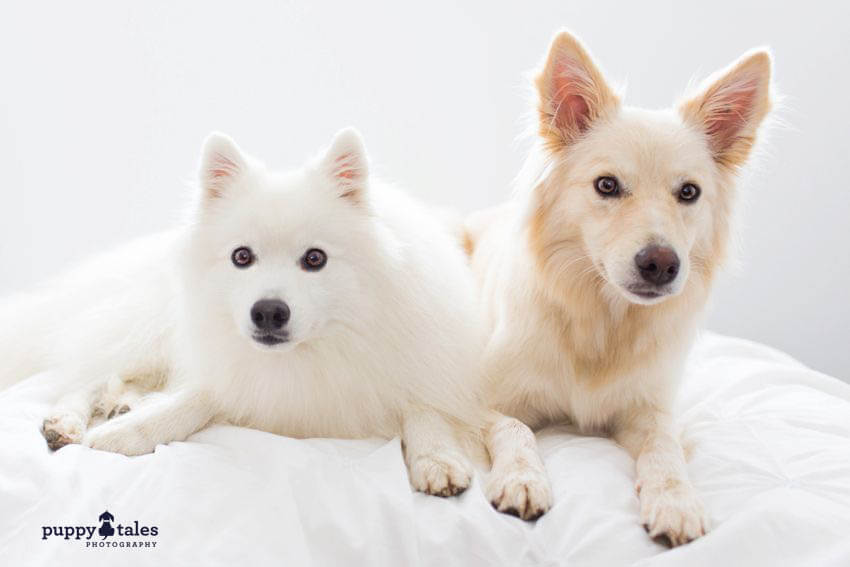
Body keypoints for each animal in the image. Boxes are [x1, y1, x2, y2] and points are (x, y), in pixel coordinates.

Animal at [0, 127, 480, 496]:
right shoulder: (231, 369)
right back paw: (68, 419)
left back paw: (122, 404)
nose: (267, 312)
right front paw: (129, 433)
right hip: (153, 329)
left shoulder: (418, 364)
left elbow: (427, 410)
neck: (316, 352)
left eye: (315, 259)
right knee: (88, 373)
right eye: (242, 257)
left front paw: (438, 459)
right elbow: (194, 399)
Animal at [468, 32, 772, 544]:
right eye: (607, 185)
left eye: (689, 193)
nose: (661, 264)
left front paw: (675, 500)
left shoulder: (649, 410)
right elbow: (514, 428)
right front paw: (522, 479)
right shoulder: (480, 398)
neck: (603, 323)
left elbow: (665, 448)